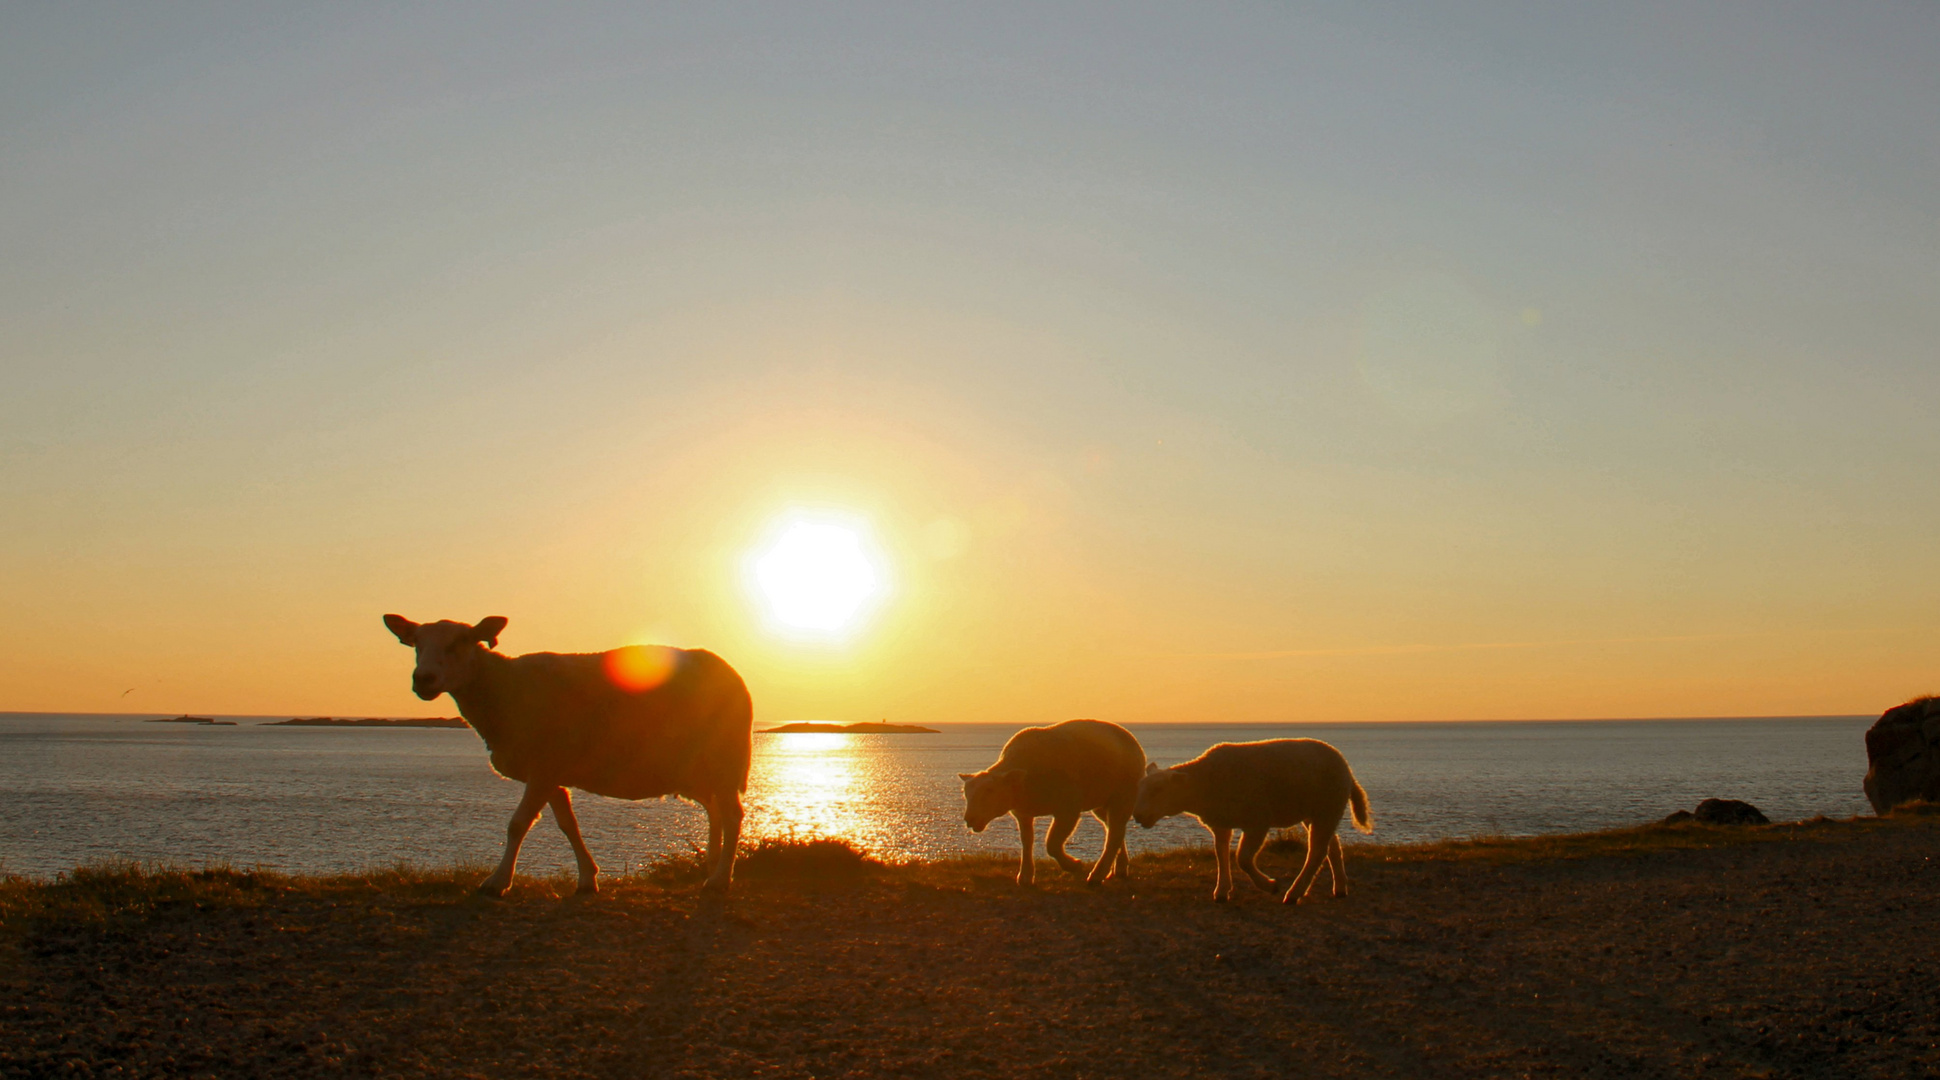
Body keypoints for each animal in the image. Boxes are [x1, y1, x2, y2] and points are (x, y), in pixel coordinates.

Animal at [378, 608, 748, 895]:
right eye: (416, 645)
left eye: (460, 642)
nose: (423, 679)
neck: (502, 689)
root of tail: (729, 671)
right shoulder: (551, 772)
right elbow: (568, 824)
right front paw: (587, 879)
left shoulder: (543, 767)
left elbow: (517, 824)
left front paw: (497, 883)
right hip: (696, 769)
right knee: (714, 810)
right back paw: (712, 865)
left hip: (723, 758)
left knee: (732, 814)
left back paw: (719, 880)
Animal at [958, 717, 1140, 884]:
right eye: (966, 794)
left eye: (989, 791)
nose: (969, 820)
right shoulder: (1022, 812)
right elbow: (1027, 841)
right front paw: (1025, 876)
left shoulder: (1069, 808)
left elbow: (1051, 844)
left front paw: (1073, 865)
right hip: (1101, 800)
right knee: (1114, 829)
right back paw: (1118, 869)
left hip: (1123, 794)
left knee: (1114, 834)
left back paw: (1097, 875)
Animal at [1132, 736, 1373, 903]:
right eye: (1141, 788)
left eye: (1158, 789)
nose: (1138, 815)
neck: (1203, 784)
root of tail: (1347, 769)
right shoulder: (1220, 822)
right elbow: (1221, 854)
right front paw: (1222, 891)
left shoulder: (1257, 821)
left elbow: (1243, 859)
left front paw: (1270, 885)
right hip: (1316, 811)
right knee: (1332, 846)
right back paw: (1339, 888)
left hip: (1328, 806)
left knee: (1317, 851)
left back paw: (1294, 893)